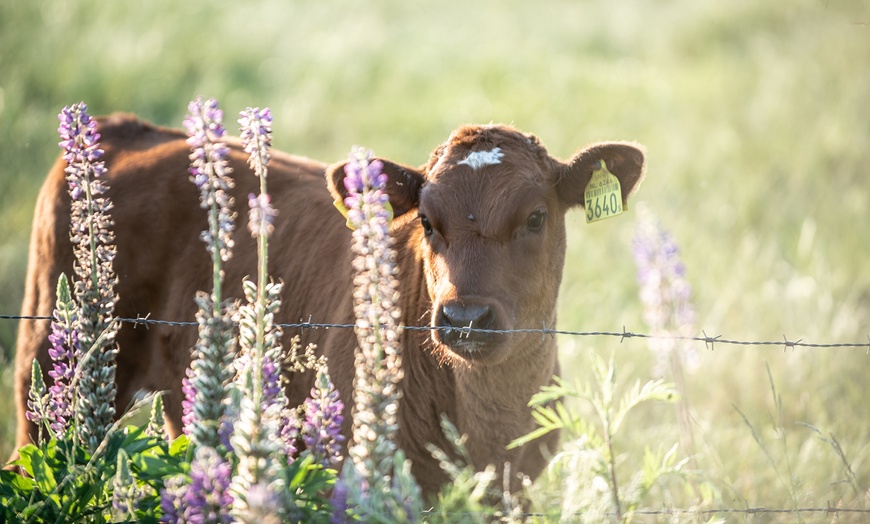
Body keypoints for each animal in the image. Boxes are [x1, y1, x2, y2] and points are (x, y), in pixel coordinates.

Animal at [10, 113, 644, 496]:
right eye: (428, 222)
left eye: (535, 218)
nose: (465, 318)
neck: (484, 417)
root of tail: (125, 129)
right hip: (49, 377)